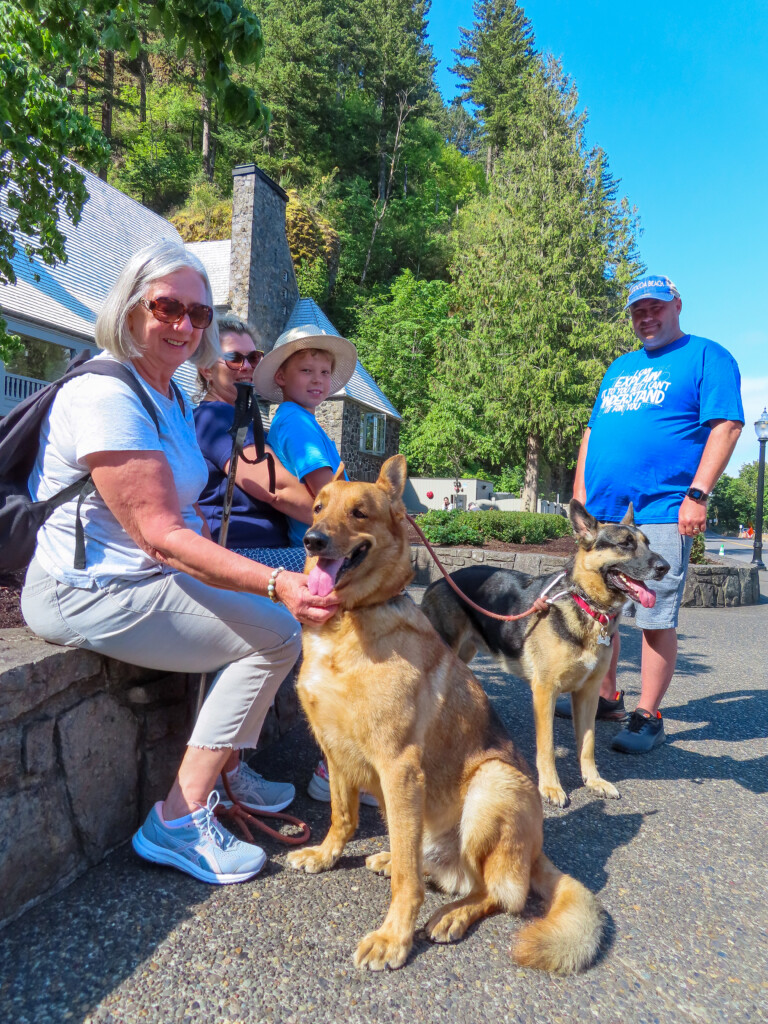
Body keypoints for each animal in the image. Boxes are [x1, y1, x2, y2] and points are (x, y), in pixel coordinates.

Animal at [288, 458, 606, 974]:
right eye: (317, 507)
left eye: (359, 513)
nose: (312, 540)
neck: (347, 623)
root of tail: (535, 852)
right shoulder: (335, 753)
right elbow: (342, 816)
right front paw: (326, 855)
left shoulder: (399, 768)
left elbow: (408, 884)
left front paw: (394, 937)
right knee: (426, 862)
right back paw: (392, 860)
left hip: (492, 783)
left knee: (499, 893)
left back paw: (453, 914)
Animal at [423, 501, 671, 806]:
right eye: (625, 544)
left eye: (648, 544)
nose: (665, 567)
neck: (587, 605)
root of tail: (438, 581)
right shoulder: (544, 692)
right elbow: (547, 746)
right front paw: (551, 787)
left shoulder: (588, 694)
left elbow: (588, 744)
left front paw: (594, 780)